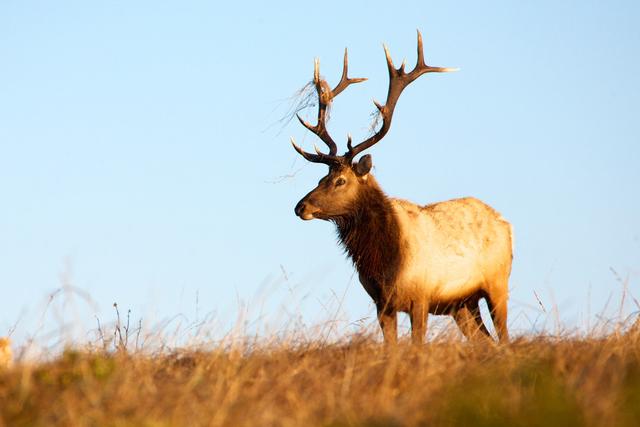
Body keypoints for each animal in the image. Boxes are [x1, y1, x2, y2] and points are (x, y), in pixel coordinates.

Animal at [292, 31, 512, 346]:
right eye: (321, 179)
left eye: (340, 180)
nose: (301, 206)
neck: (384, 264)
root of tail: (506, 224)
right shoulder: (381, 304)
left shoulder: (420, 297)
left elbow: (417, 347)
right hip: (462, 304)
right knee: (487, 342)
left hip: (497, 283)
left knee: (505, 339)